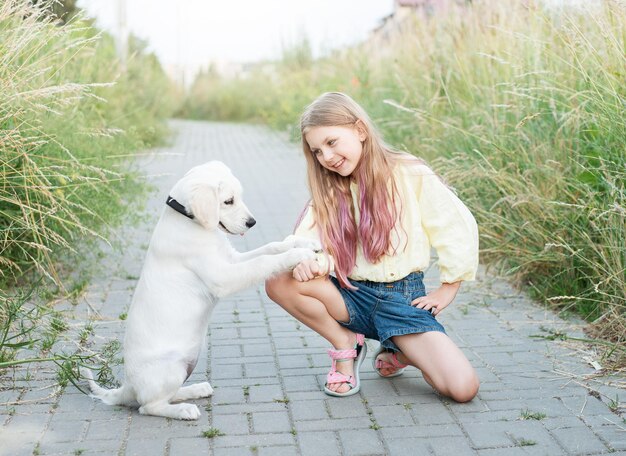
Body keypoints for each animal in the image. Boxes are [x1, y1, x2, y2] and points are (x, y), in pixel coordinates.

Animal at [83, 160, 316, 420]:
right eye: (228, 201)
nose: (252, 222)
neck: (189, 222)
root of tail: (128, 386)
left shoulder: (231, 259)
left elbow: (270, 248)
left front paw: (303, 243)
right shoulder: (224, 277)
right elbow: (263, 261)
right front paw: (298, 255)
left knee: (166, 396)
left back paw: (196, 389)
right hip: (171, 369)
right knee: (148, 406)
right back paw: (184, 410)